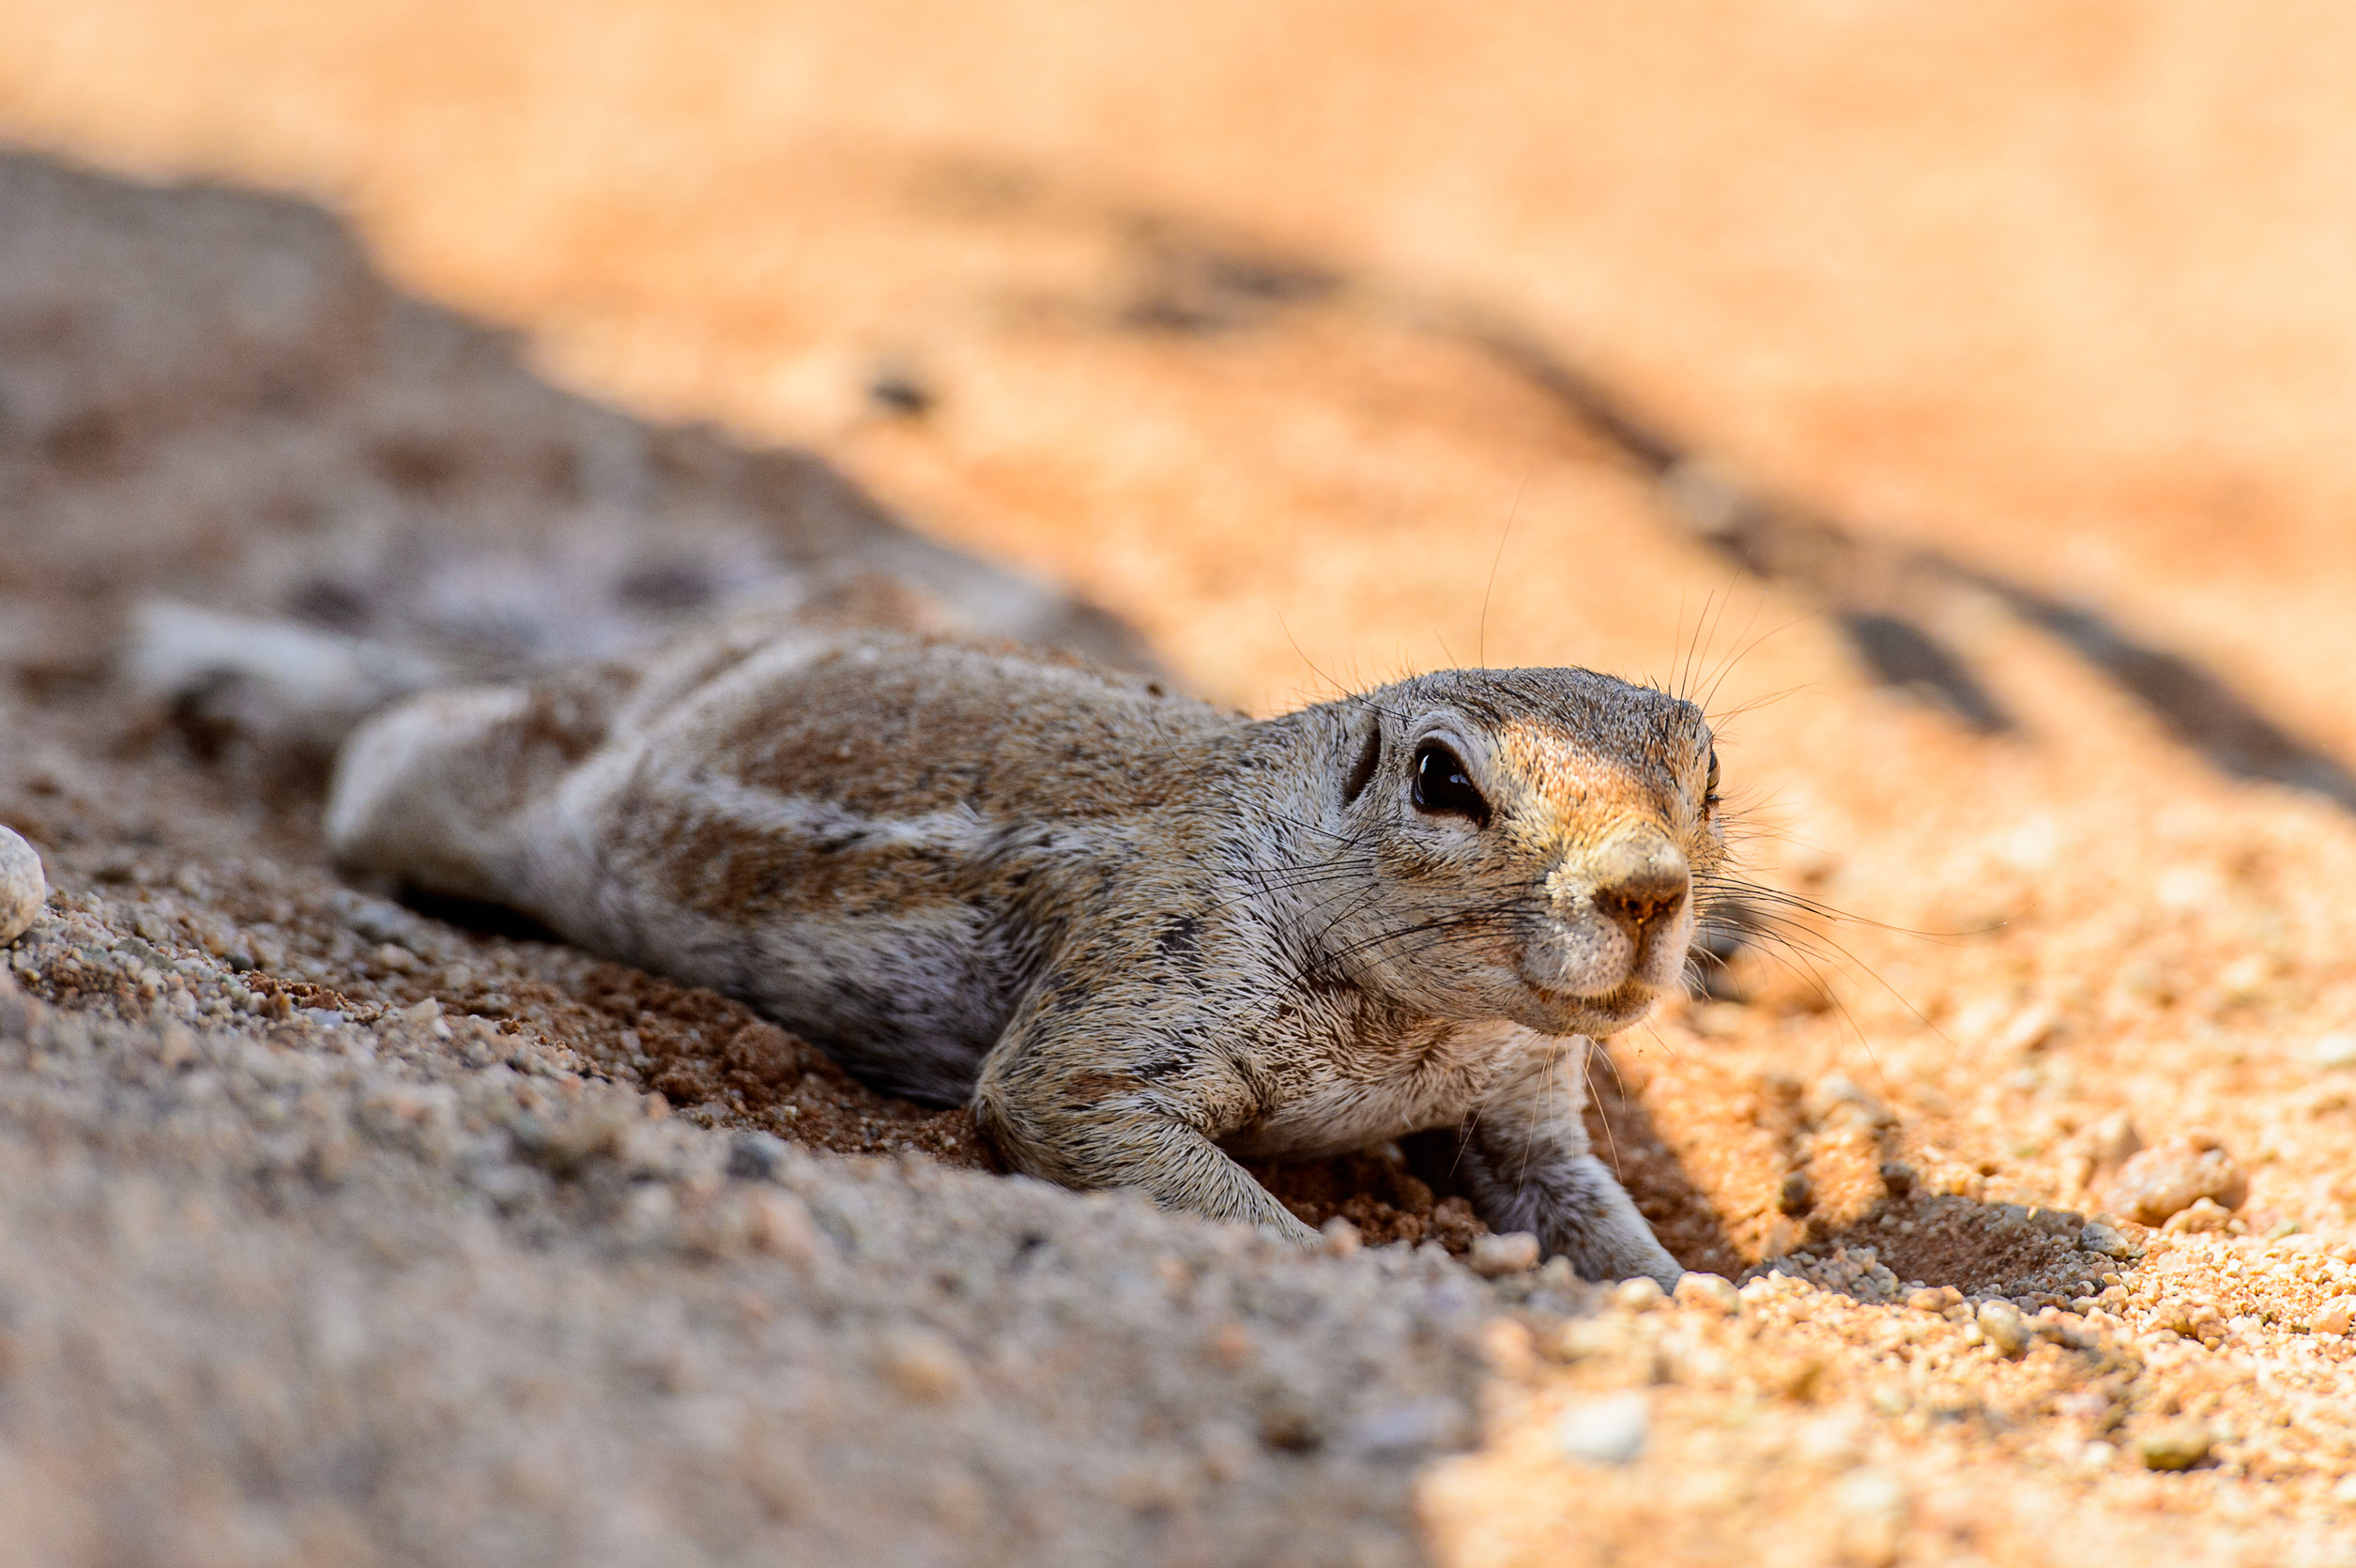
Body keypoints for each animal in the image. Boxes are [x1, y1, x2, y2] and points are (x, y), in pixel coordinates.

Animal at [326, 611, 1727, 1284]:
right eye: (1440, 780)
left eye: (1706, 770)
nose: (1650, 891)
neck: (1425, 1017)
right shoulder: (1144, 981)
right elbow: (1086, 1109)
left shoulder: (1522, 1102)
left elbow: (1584, 1208)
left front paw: (1671, 1288)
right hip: (493, 784)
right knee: (409, 742)